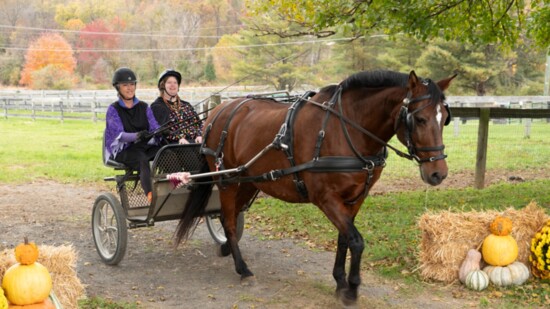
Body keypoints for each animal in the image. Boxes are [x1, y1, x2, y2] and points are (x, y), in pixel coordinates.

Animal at [175, 70, 454, 306]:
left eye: (444, 120)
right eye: (420, 119)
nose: (438, 173)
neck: (345, 129)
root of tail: (218, 111)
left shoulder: (355, 199)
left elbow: (344, 239)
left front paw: (340, 282)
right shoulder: (326, 198)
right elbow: (356, 241)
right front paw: (352, 289)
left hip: (247, 181)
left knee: (228, 216)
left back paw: (226, 249)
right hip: (227, 180)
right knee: (229, 221)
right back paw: (243, 269)